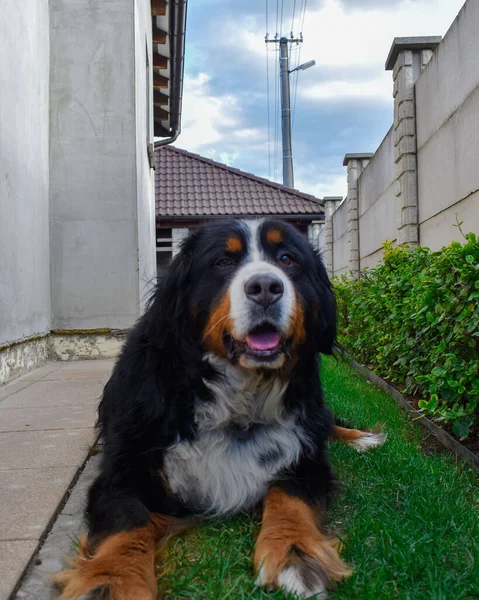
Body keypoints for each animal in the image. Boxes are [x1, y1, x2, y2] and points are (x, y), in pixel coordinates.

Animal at [56, 218, 386, 596]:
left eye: (287, 259)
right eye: (223, 262)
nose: (266, 287)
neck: (239, 396)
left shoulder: (306, 458)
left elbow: (290, 497)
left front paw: (295, 553)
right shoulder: (124, 467)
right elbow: (126, 520)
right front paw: (111, 579)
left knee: (326, 422)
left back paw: (361, 438)